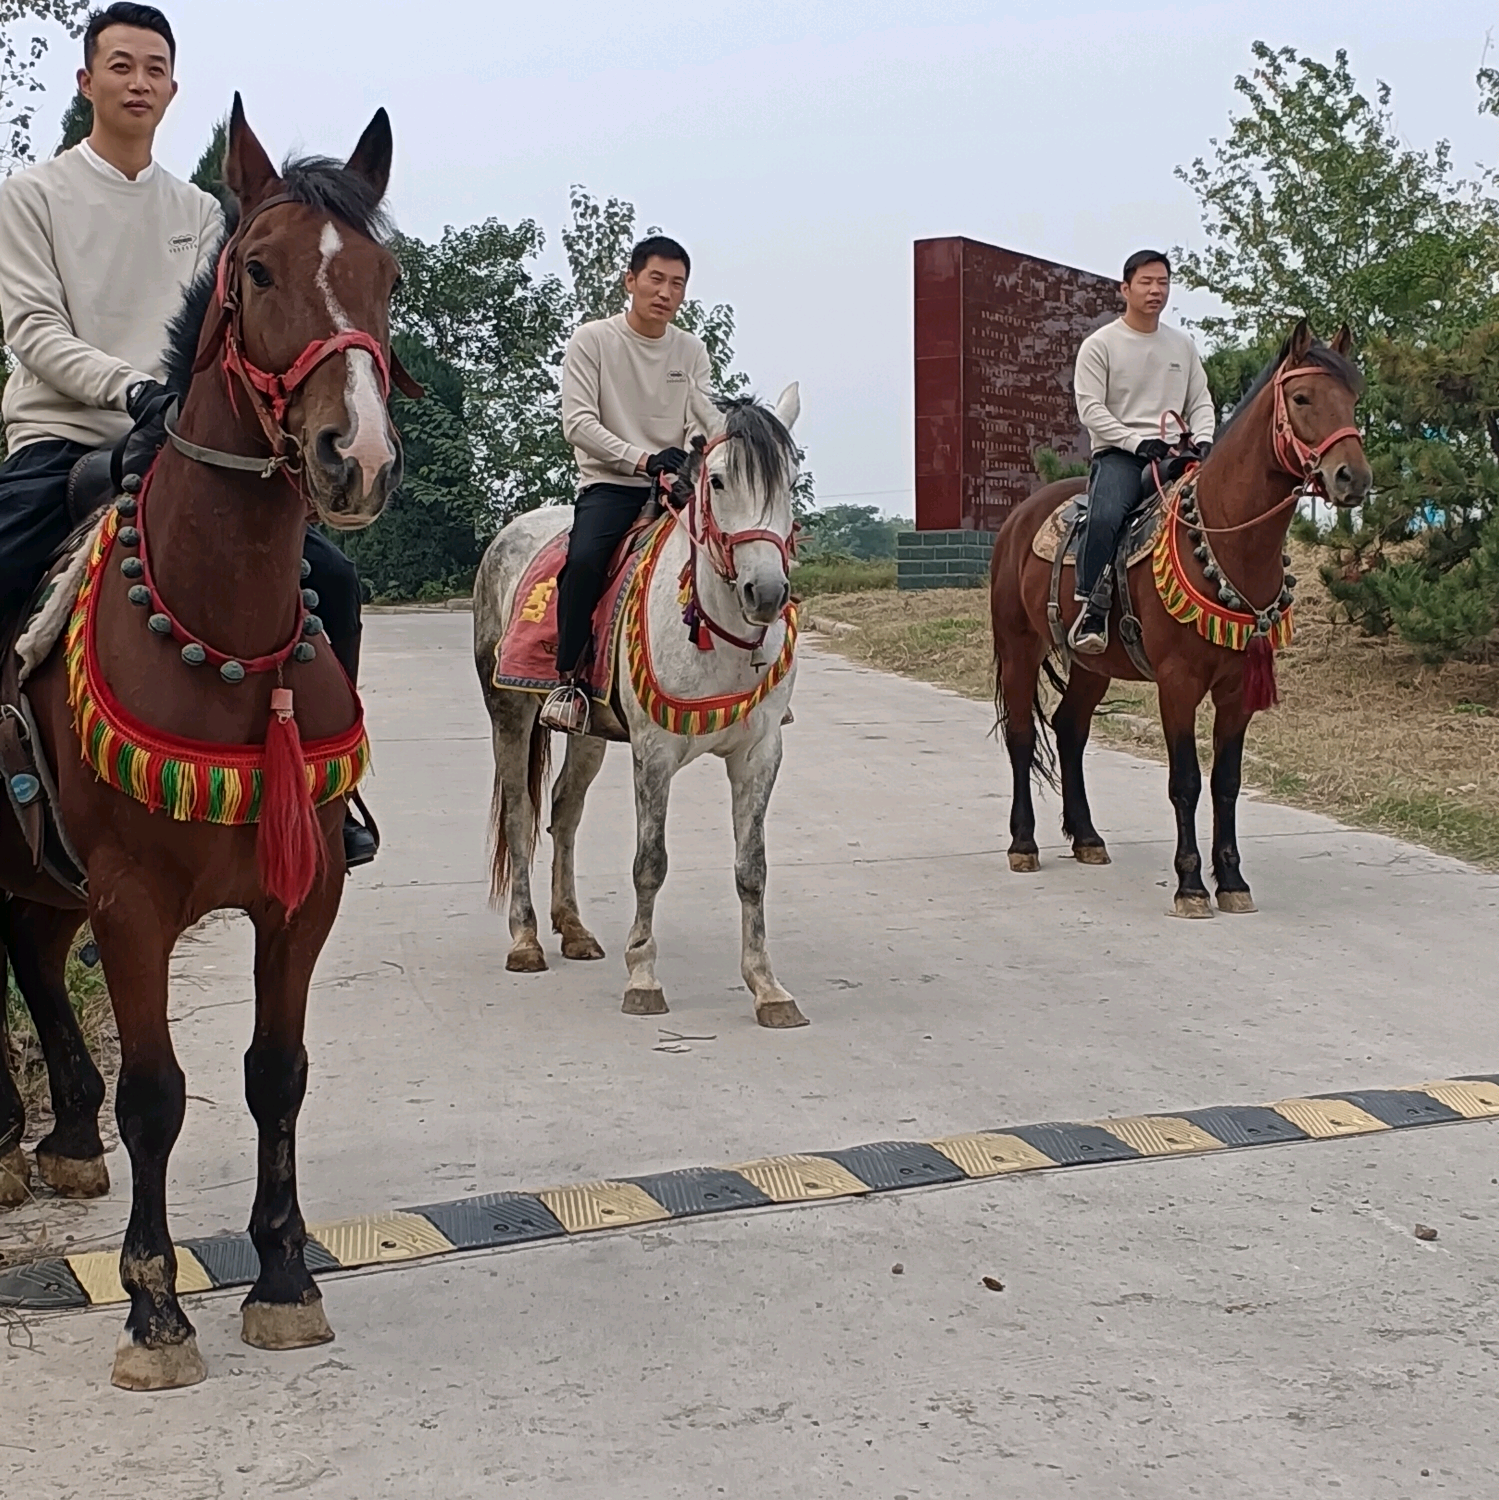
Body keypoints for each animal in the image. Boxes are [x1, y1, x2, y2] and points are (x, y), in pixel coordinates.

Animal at [473, 385, 807, 1028]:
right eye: (718, 481)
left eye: (790, 480)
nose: (767, 593)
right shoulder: (654, 753)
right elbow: (649, 862)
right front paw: (644, 977)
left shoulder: (760, 752)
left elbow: (751, 868)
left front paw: (768, 987)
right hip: (509, 712)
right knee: (521, 813)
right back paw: (526, 939)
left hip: (587, 731)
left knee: (564, 810)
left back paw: (574, 929)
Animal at [989, 320, 1372, 916]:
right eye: (1303, 397)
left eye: (1353, 398)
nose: (1352, 477)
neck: (1225, 538)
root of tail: (1018, 519)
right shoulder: (1178, 682)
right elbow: (1186, 781)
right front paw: (1191, 884)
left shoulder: (1237, 688)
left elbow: (1227, 781)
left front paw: (1232, 880)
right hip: (1018, 647)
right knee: (1024, 735)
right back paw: (1023, 843)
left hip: (1091, 665)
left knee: (1070, 729)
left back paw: (1087, 837)